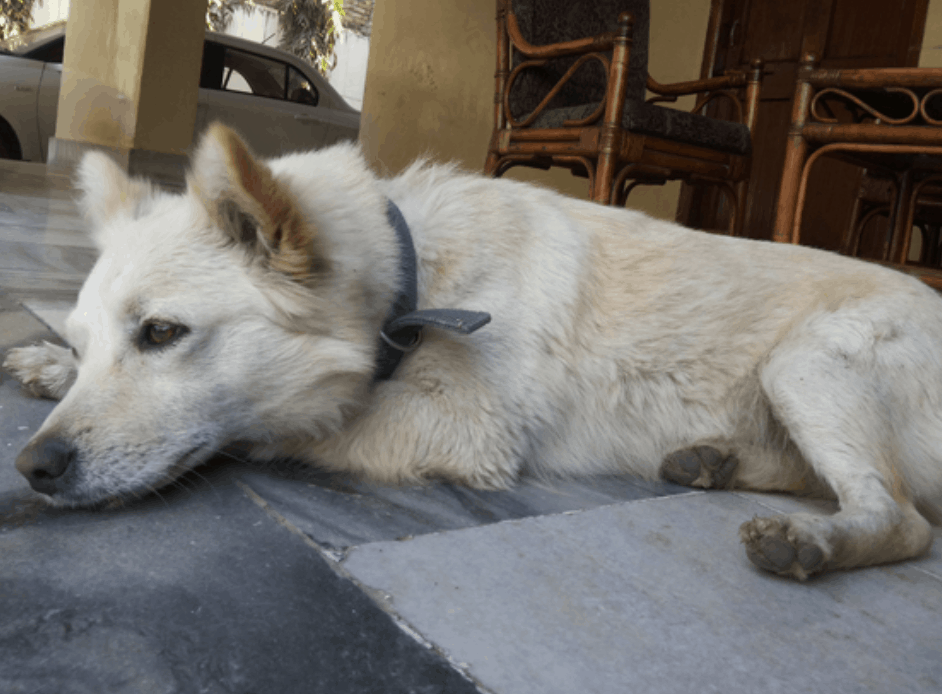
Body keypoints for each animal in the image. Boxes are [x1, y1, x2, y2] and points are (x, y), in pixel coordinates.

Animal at [3, 125, 940, 580]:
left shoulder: (465, 432)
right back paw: (711, 461)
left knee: (902, 517)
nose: (34, 468)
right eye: (90, 341)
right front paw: (48, 363)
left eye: (162, 333)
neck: (416, 279)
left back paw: (816, 543)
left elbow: (281, 422)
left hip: (808, 362)